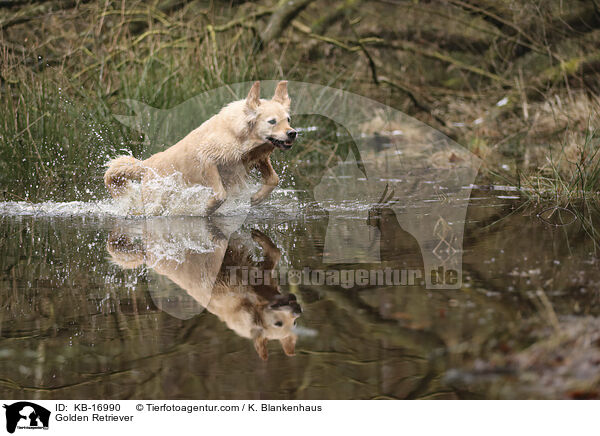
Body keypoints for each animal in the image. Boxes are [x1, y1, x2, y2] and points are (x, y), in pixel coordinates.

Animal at [106, 81, 298, 215]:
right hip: (156, 199)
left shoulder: (258, 158)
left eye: (288, 119)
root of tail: (147, 164)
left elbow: (274, 179)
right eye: (272, 121)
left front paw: (257, 198)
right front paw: (207, 208)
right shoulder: (207, 158)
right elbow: (220, 194)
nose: (293, 133)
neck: (238, 135)